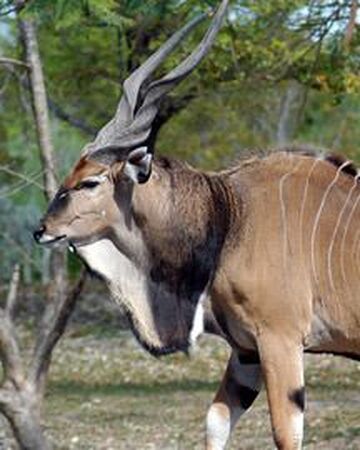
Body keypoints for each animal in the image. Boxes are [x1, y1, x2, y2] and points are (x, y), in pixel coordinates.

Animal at [33, 0, 360, 448]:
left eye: (90, 181)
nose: (42, 229)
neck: (229, 214)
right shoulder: (246, 352)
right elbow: (216, 421)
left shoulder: (281, 341)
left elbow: (285, 434)